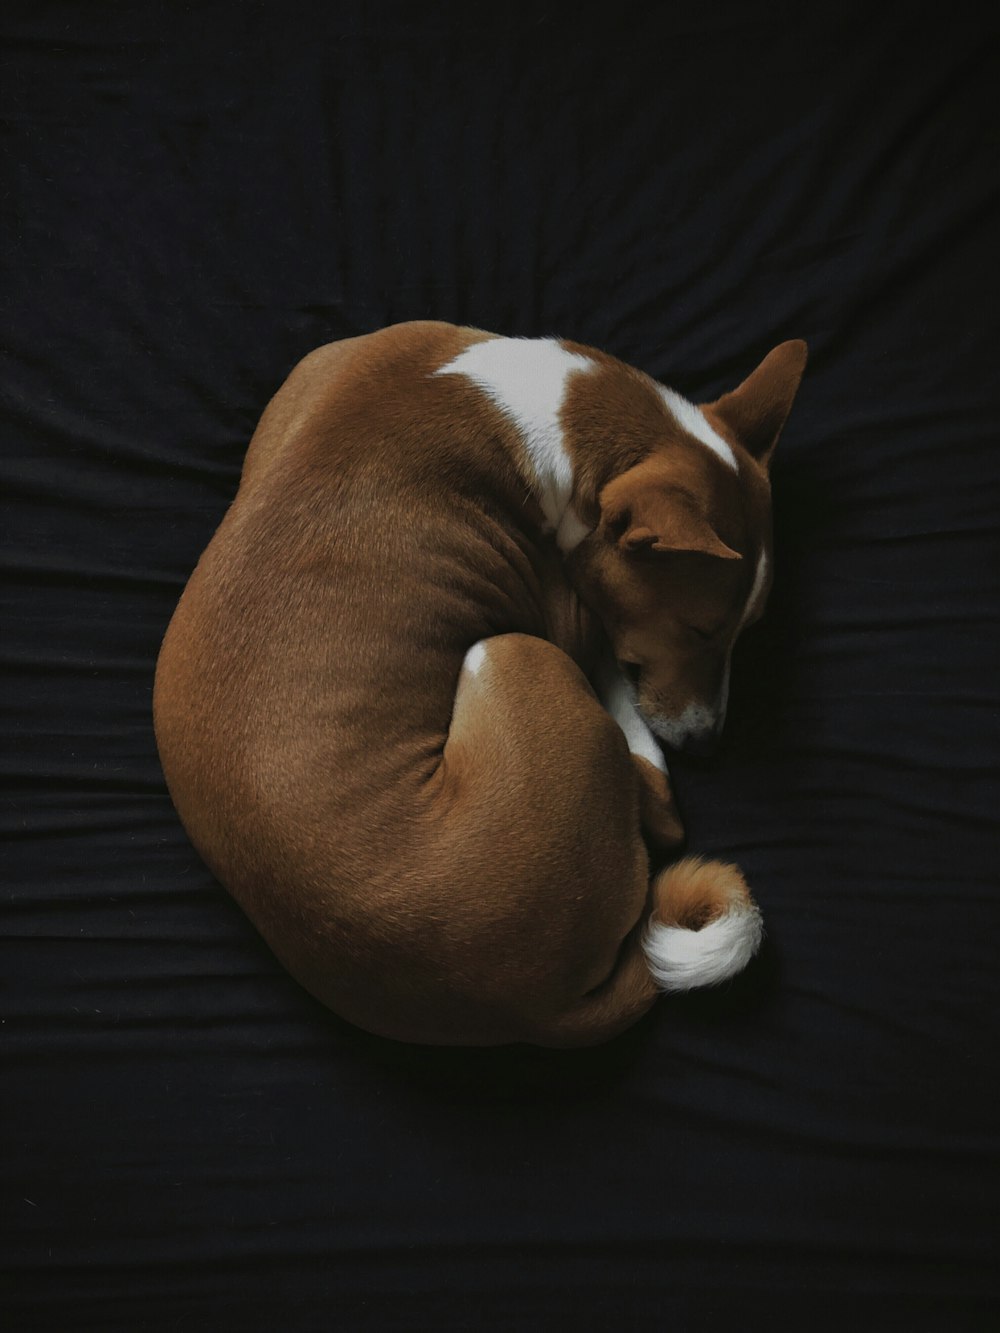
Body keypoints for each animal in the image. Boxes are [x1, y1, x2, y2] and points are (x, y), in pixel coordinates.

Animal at [154, 325, 805, 1050]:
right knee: (662, 813)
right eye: (699, 630)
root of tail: (536, 1009)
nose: (708, 744)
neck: (541, 403)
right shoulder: (569, 619)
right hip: (512, 651)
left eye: (749, 629)